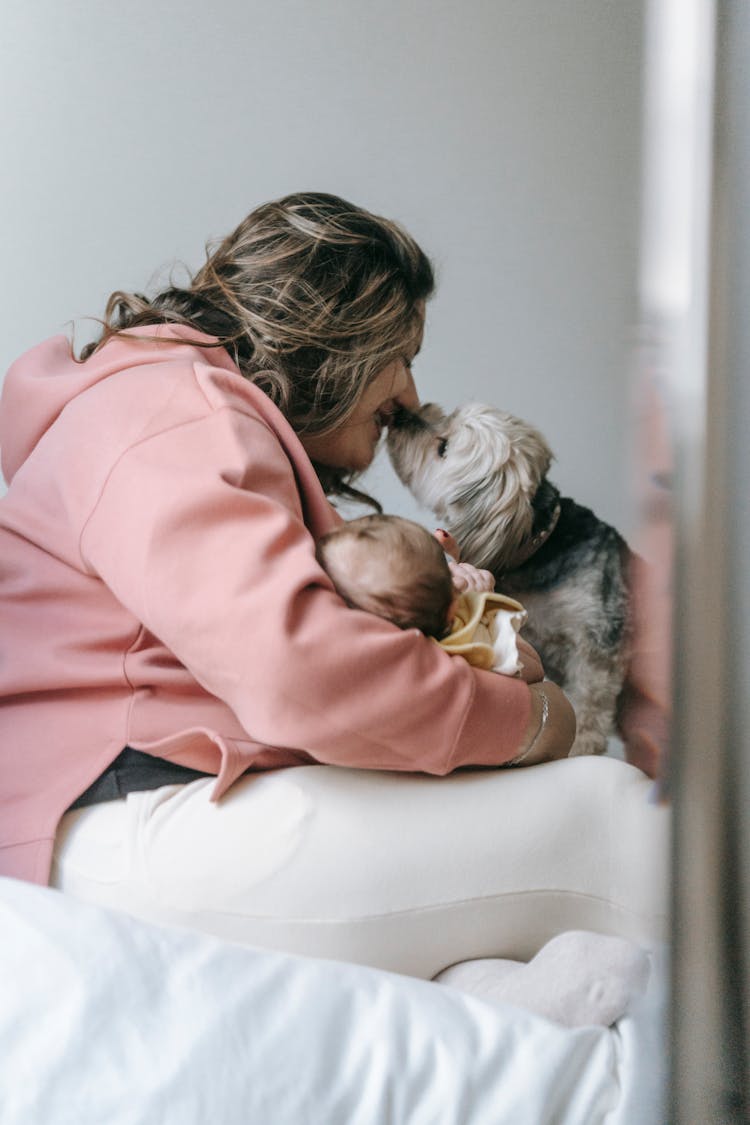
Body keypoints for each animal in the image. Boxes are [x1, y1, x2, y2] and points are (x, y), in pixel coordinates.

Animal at [391, 405, 638, 756]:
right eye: (445, 413)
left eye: (443, 447)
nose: (400, 414)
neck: (540, 547)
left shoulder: (596, 643)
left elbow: (590, 703)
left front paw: (581, 746)